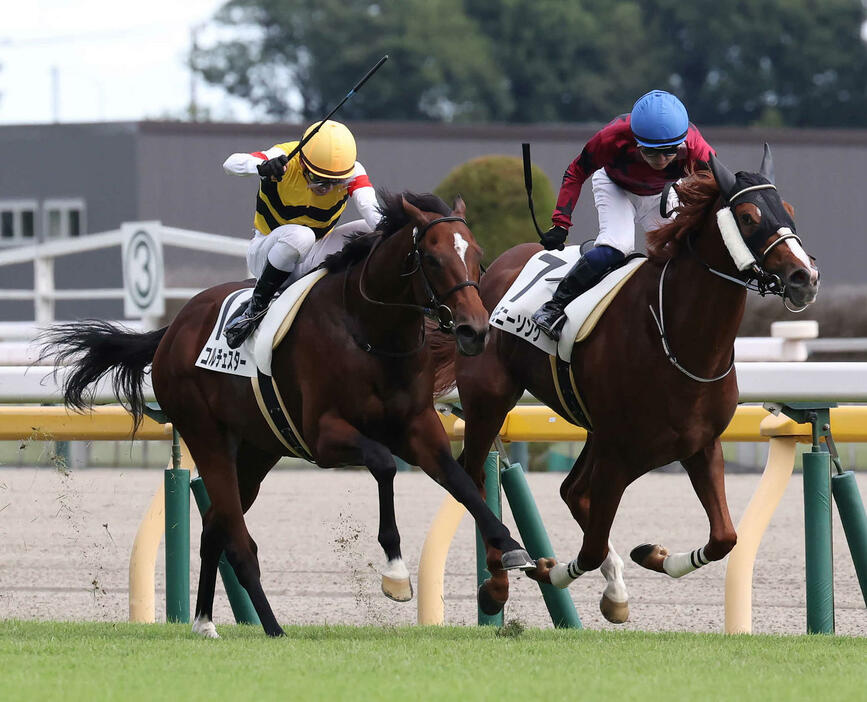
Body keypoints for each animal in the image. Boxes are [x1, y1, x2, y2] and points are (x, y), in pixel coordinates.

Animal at [44, 192, 532, 640]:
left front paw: (511, 549)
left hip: (257, 451)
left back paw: (205, 621)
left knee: (215, 527)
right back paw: (272, 627)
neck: (370, 333)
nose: (475, 330)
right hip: (206, 435)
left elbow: (462, 481)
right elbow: (384, 464)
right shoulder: (325, 436)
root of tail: (171, 329)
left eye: (477, 255)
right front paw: (394, 572)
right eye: (431, 257)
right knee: (238, 541)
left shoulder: (418, 428)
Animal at [438, 147, 824, 620]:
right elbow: (587, 547)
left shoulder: (698, 444)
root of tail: (490, 269)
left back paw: (613, 585)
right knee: (475, 475)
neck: (677, 337)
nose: (804, 277)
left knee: (571, 491)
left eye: (789, 210)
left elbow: (724, 537)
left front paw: (653, 556)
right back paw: (498, 580)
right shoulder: (619, 453)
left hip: (595, 431)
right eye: (748, 216)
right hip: (489, 400)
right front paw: (548, 569)